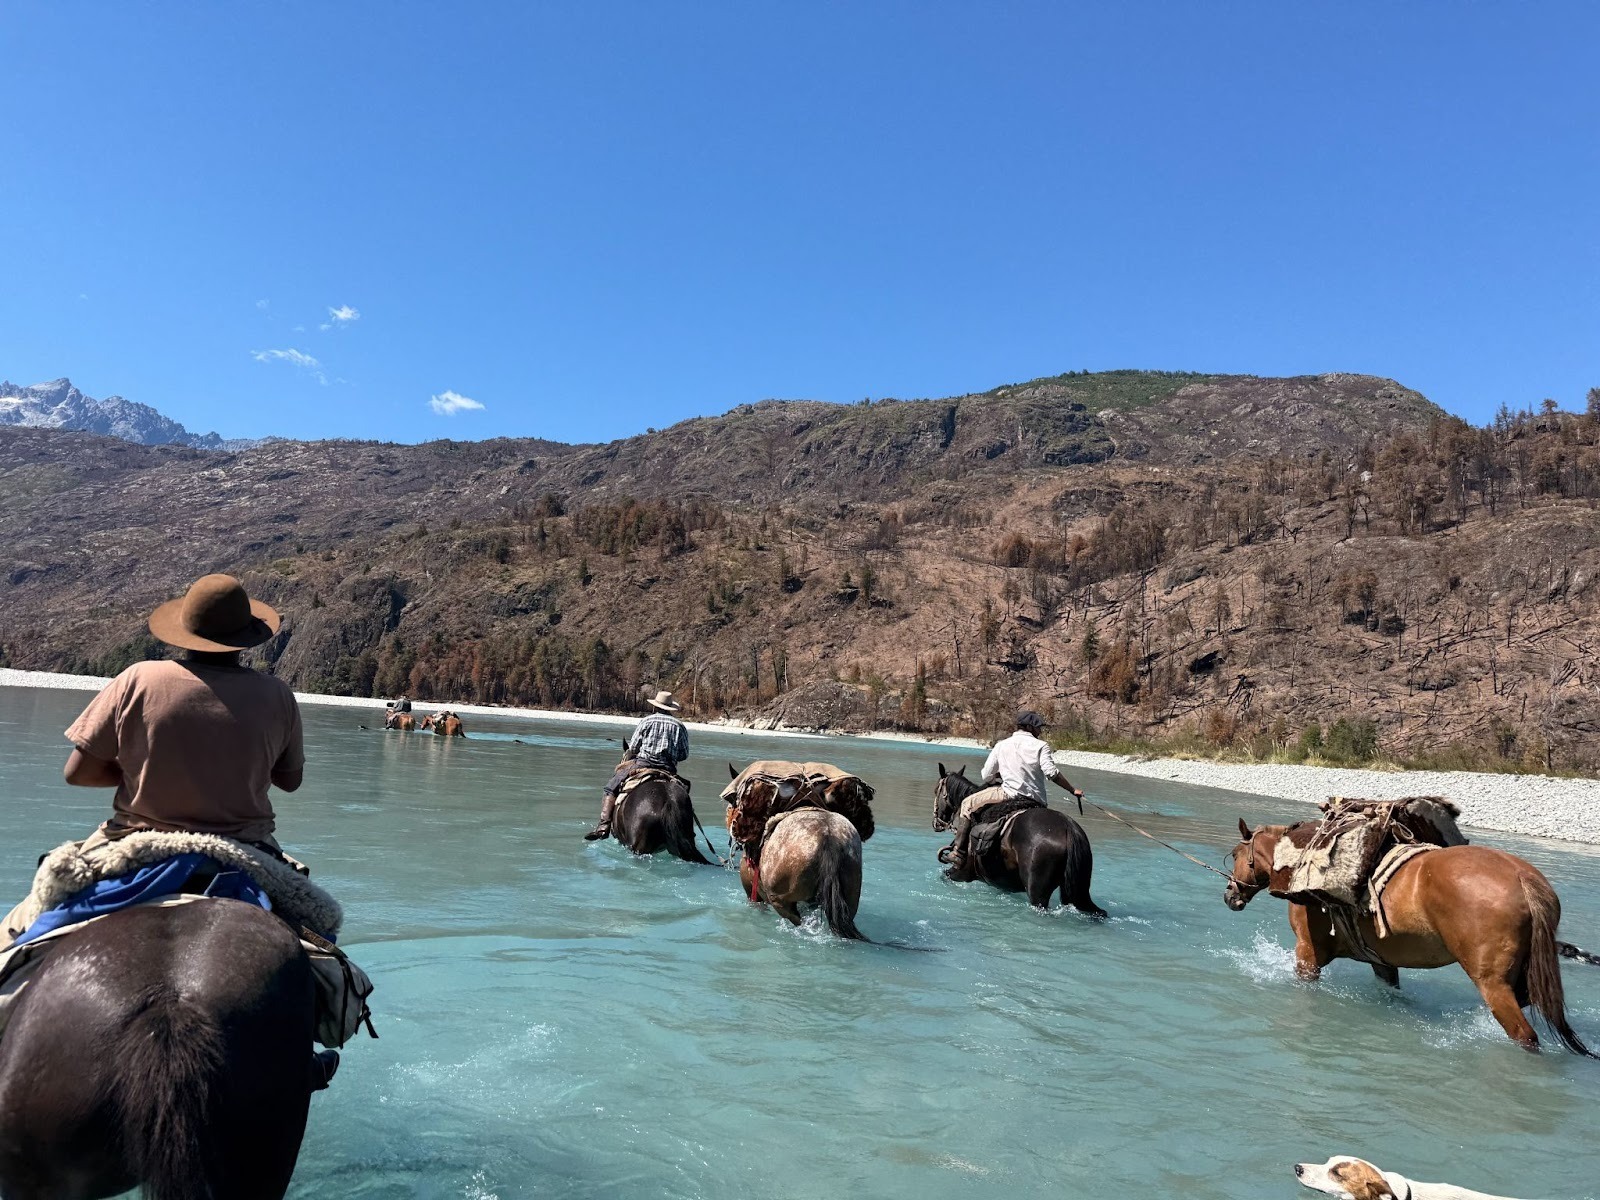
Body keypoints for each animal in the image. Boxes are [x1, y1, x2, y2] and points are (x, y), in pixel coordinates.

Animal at [933, 764, 1106, 916]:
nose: (937, 822)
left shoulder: (961, 872)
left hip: (1037, 893)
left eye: (936, 790)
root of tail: (1068, 828)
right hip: (1080, 892)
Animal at [1226, 818, 1595, 1055]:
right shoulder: (1381, 963)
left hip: (1492, 981)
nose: (1230, 894)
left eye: (1235, 855)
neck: (1299, 861)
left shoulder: (1307, 956)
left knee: (1524, 1034)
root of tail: (1524, 879)